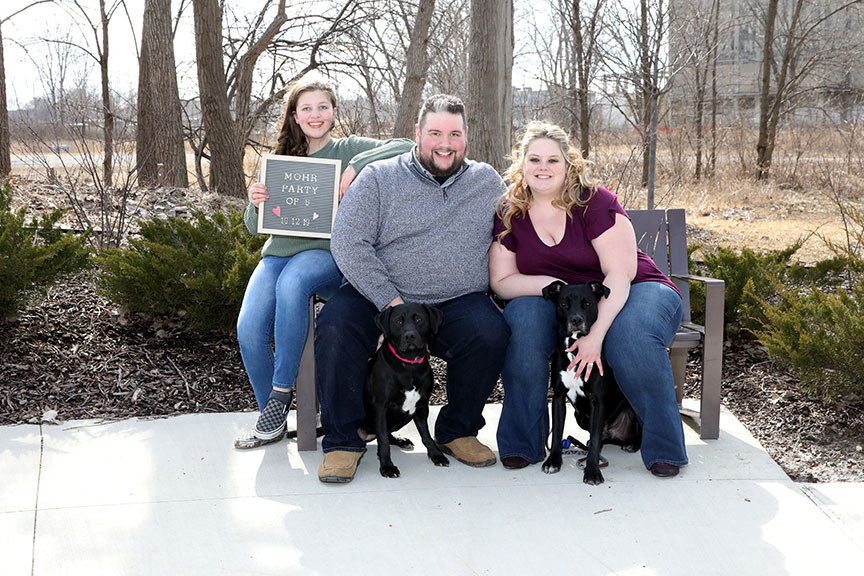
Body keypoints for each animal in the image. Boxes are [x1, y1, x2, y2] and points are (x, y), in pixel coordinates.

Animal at [360, 302, 452, 476]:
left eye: (419, 319)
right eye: (398, 322)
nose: (410, 336)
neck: (409, 365)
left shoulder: (422, 406)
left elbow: (426, 435)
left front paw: (436, 455)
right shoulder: (380, 407)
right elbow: (383, 439)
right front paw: (387, 466)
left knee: (388, 433)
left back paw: (400, 441)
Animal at [540, 282, 640, 484]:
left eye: (587, 304)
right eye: (564, 304)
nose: (576, 319)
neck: (575, 349)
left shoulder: (597, 401)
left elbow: (594, 440)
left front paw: (592, 471)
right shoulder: (558, 397)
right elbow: (557, 434)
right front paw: (553, 460)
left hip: (633, 405)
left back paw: (632, 444)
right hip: (579, 416)